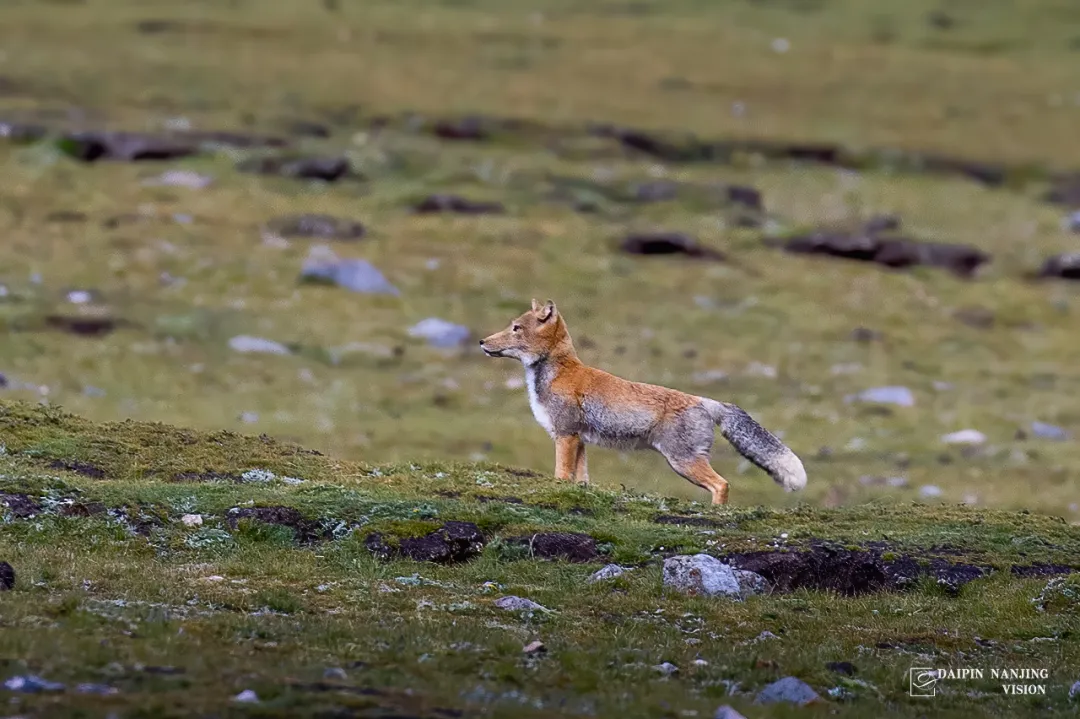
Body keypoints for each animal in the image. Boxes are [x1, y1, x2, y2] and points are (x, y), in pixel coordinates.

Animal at [477, 297, 807, 503]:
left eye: (515, 328)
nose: (481, 342)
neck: (556, 373)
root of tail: (702, 400)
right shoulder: (579, 440)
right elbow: (581, 480)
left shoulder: (566, 436)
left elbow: (561, 476)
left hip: (682, 461)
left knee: (722, 484)